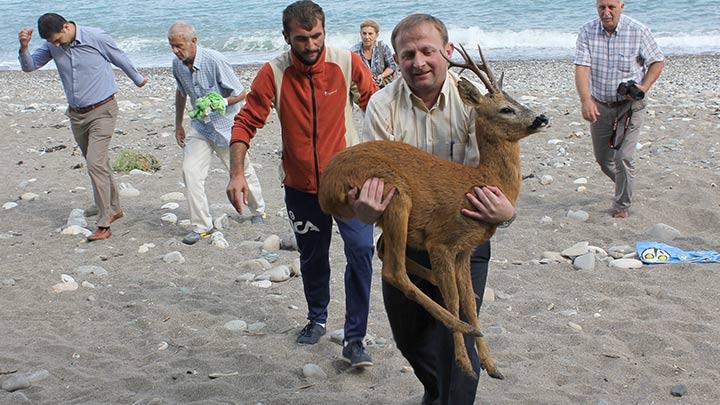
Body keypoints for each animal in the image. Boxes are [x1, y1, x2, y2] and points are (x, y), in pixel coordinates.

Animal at [318, 45, 548, 378]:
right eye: (506, 109)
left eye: (516, 100)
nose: (542, 117)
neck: (481, 181)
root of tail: (326, 185)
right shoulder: (442, 241)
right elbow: (454, 300)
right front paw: (464, 362)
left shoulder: (464, 250)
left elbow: (469, 302)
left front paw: (491, 365)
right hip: (395, 194)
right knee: (393, 269)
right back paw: (459, 323)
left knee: (386, 252)